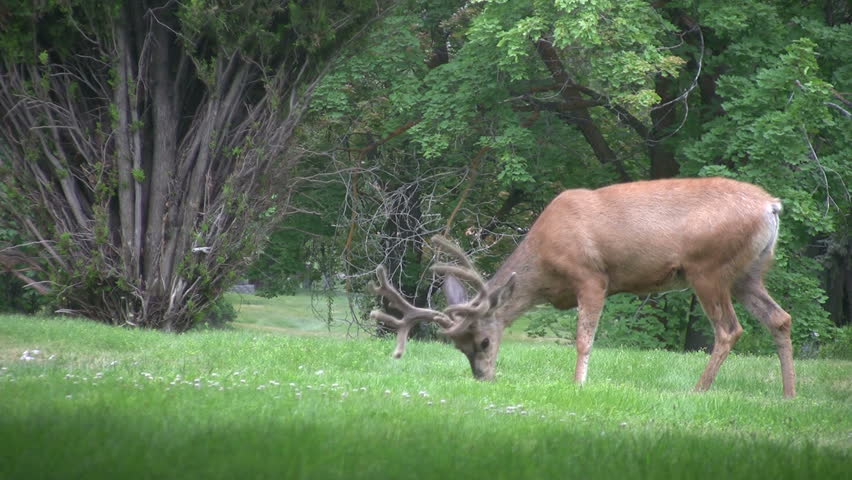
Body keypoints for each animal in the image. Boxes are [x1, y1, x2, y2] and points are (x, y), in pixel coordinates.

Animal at [369, 177, 796, 397]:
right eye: (460, 348)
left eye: (486, 342)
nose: (483, 378)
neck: (544, 266)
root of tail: (771, 206)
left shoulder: (592, 276)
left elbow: (583, 338)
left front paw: (577, 384)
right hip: (747, 273)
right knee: (780, 318)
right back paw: (788, 394)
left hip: (708, 268)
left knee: (729, 329)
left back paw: (698, 390)